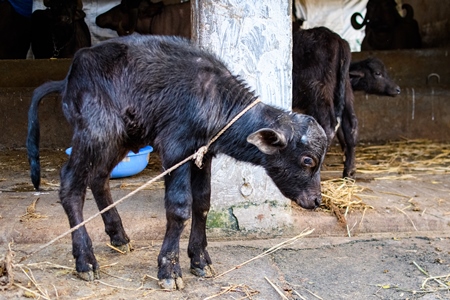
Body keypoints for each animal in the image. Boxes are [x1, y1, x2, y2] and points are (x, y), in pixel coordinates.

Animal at [27, 35, 326, 290]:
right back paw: (85, 261)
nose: (316, 200)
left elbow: (203, 202)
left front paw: (200, 260)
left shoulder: (203, 154)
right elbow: (179, 207)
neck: (213, 97)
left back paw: (118, 236)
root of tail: (69, 77)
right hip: (94, 133)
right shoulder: (175, 149)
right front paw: (169, 270)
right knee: (70, 185)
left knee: (98, 177)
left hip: (120, 139)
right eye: (308, 160)